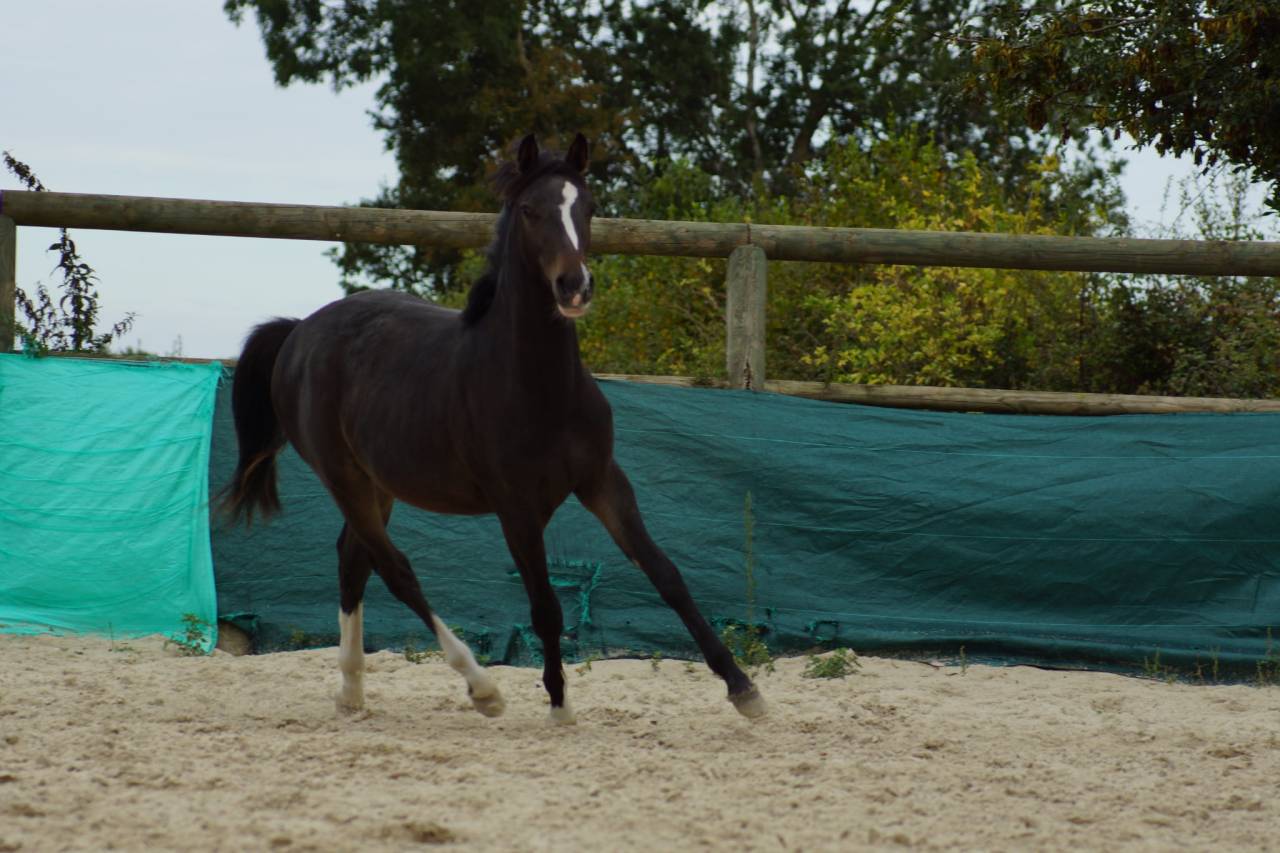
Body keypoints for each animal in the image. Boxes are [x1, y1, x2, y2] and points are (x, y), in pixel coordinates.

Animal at [221, 133, 765, 724]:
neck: (538, 389)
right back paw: (481, 688)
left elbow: (667, 576)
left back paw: (352, 692)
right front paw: (558, 704)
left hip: (377, 482)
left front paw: (743, 689)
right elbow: (546, 606)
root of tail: (299, 332)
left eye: (589, 206)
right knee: (395, 568)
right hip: (342, 476)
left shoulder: (603, 481)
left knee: (352, 558)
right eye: (529, 210)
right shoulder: (516, 507)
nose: (575, 287)